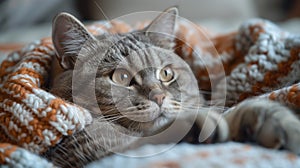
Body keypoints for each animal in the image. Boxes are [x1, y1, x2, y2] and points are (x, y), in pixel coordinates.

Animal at [45, 6, 300, 167]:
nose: (159, 97)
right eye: (121, 77)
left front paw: (270, 121)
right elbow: (149, 141)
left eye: (166, 73)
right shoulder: (85, 152)